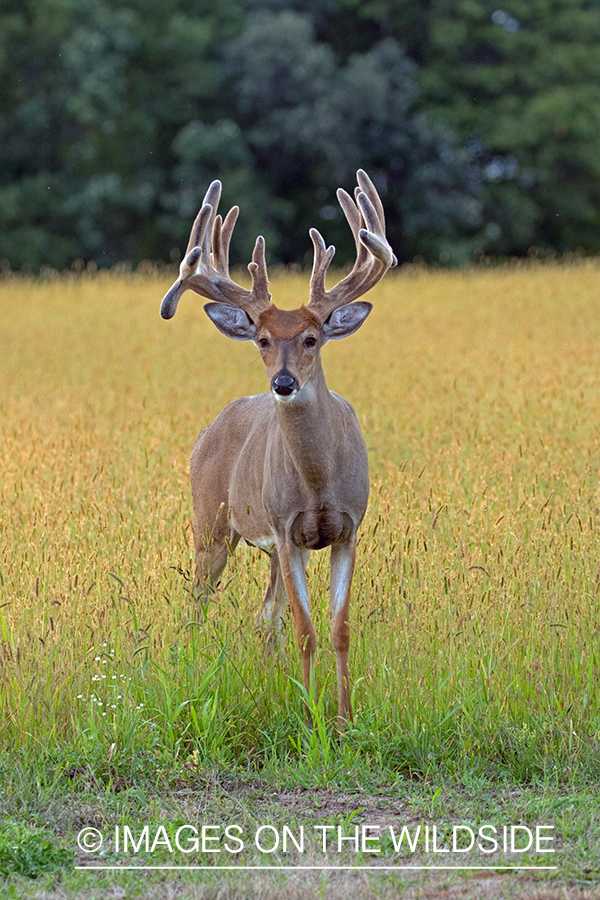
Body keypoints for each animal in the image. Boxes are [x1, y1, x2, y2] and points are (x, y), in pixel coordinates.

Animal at [159, 172, 396, 728]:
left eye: (311, 338)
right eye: (263, 340)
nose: (283, 383)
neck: (319, 482)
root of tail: (208, 429)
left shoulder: (348, 528)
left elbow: (338, 628)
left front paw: (344, 718)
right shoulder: (288, 531)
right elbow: (307, 632)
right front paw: (312, 719)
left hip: (269, 548)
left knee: (264, 618)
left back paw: (275, 681)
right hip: (211, 521)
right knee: (197, 604)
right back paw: (192, 672)